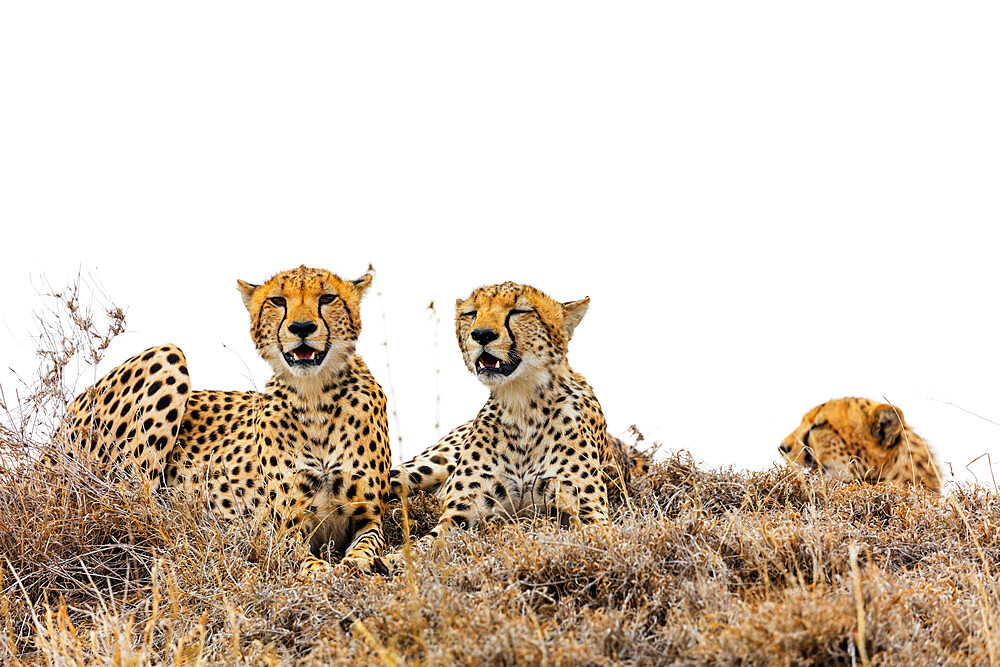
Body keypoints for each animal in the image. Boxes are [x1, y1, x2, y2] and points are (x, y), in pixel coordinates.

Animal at [386, 282, 652, 548]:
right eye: (471, 313)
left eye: (518, 311)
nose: (482, 334)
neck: (522, 406)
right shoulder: (459, 515)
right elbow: (422, 546)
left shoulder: (589, 515)